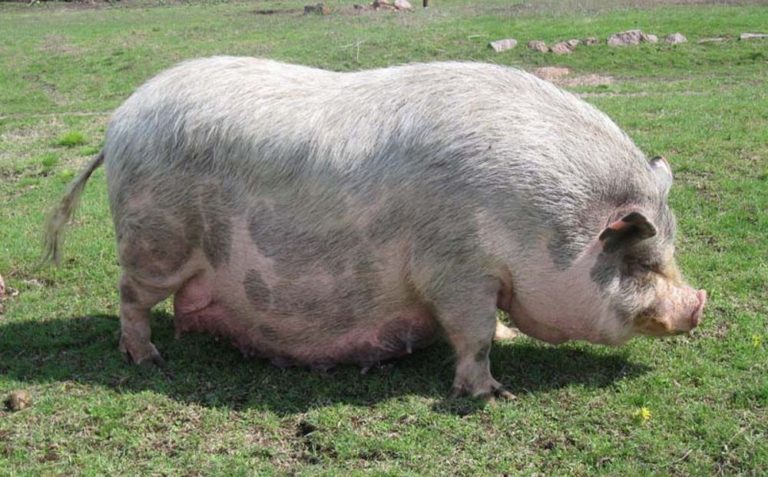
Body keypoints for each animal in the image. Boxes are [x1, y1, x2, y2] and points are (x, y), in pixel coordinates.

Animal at [44, 57, 706, 399]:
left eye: (668, 251)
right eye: (638, 260)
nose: (697, 305)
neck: (538, 224)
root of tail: (120, 120)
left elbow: (489, 327)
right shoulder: (456, 268)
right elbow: (473, 334)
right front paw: (491, 394)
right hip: (155, 240)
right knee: (130, 297)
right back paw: (148, 360)